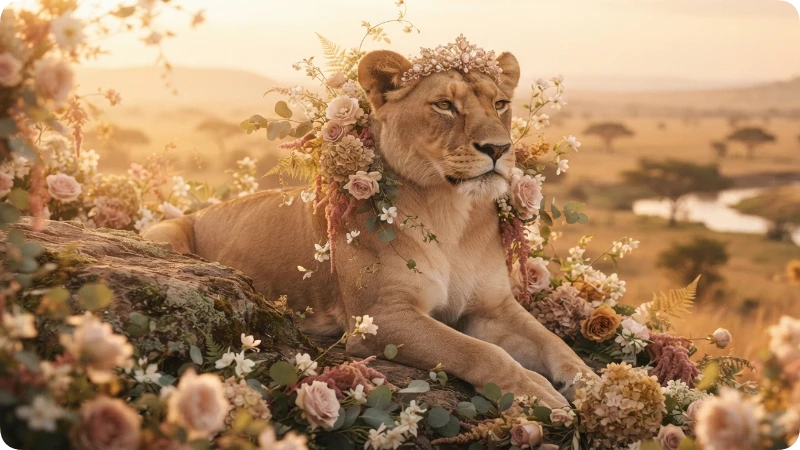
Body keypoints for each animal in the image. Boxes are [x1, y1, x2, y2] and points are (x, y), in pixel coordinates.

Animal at [142, 49, 594, 407]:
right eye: (444, 105)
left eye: (500, 103)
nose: (499, 148)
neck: (450, 212)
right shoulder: (381, 318)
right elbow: (479, 352)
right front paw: (535, 392)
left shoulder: (493, 306)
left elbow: (554, 343)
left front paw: (593, 386)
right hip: (168, 234)